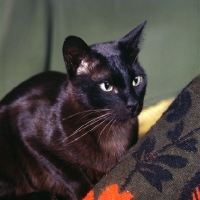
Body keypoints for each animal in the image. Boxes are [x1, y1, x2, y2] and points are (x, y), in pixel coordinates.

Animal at [0, 21, 147, 199]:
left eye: (136, 81)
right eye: (107, 86)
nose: (133, 104)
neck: (111, 129)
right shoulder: (29, 136)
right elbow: (70, 174)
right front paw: (87, 192)